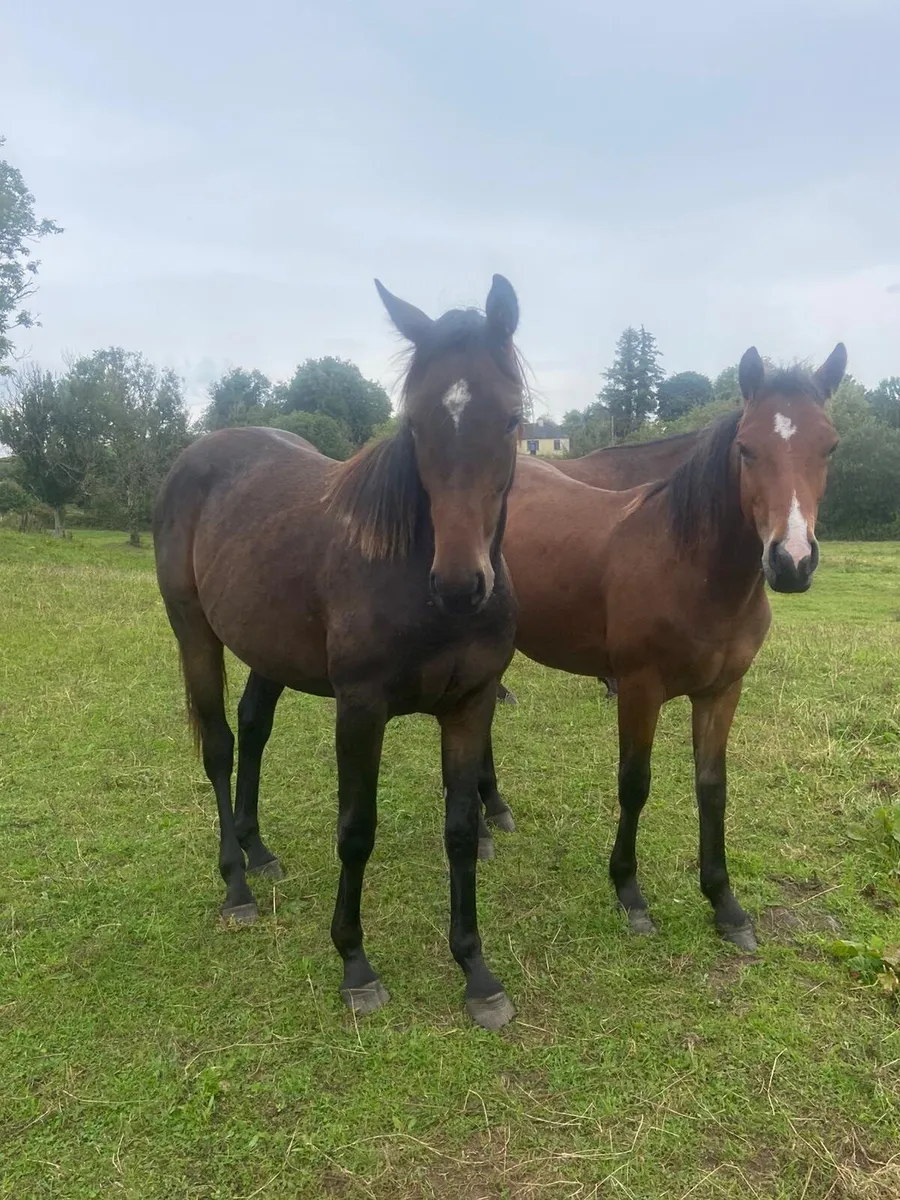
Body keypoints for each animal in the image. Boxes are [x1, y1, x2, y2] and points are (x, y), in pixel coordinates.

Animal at [153, 276, 525, 1031]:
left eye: (510, 420)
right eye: (414, 423)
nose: (460, 585)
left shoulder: (470, 707)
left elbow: (462, 830)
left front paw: (476, 972)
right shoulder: (360, 710)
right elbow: (356, 829)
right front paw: (355, 963)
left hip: (268, 651)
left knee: (254, 727)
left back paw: (258, 850)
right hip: (195, 635)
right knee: (219, 745)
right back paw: (236, 885)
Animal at [496, 344, 845, 948]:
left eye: (829, 446)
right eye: (746, 448)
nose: (792, 562)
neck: (692, 570)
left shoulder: (722, 692)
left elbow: (712, 788)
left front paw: (725, 904)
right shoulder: (640, 689)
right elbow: (634, 784)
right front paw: (629, 893)